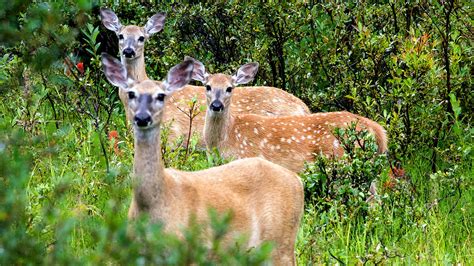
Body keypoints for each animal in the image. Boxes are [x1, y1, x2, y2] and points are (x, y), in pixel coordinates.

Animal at [186, 56, 388, 172]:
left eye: (229, 88)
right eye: (207, 86)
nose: (216, 105)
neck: (224, 140)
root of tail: (377, 130)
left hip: (342, 158)